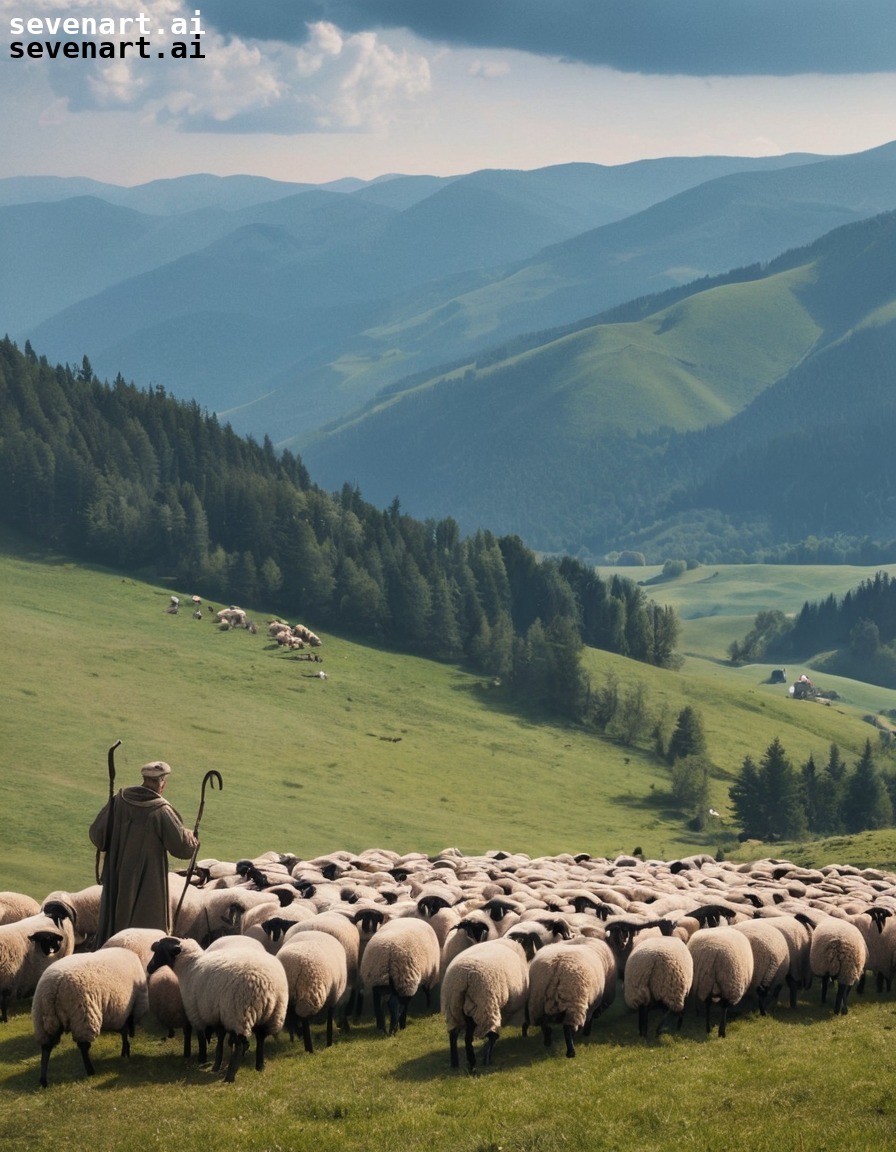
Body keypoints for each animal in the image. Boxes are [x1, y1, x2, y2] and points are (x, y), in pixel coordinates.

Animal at [30, 949, 146, 1082]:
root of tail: (54, 985)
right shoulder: (128, 1010)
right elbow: (125, 1032)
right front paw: (126, 1052)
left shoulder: (122, 1013)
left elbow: (124, 1032)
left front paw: (124, 1052)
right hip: (84, 1014)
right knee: (83, 1046)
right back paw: (90, 1071)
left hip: (42, 1018)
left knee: (46, 1047)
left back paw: (43, 1079)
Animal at [146, 930, 286, 1082]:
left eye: (161, 950)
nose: (149, 967)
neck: (190, 966)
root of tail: (266, 985)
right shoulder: (215, 1013)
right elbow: (219, 1038)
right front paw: (214, 1064)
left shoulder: (196, 1012)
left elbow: (201, 1038)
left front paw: (202, 1059)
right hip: (273, 1015)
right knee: (260, 1038)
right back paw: (259, 1067)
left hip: (240, 1014)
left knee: (240, 1044)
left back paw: (230, 1076)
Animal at [442, 935, 527, 1069]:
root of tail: (464, 976)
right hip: (485, 1004)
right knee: (487, 1034)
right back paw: (480, 1061)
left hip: (454, 1007)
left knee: (454, 1035)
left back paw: (456, 1063)